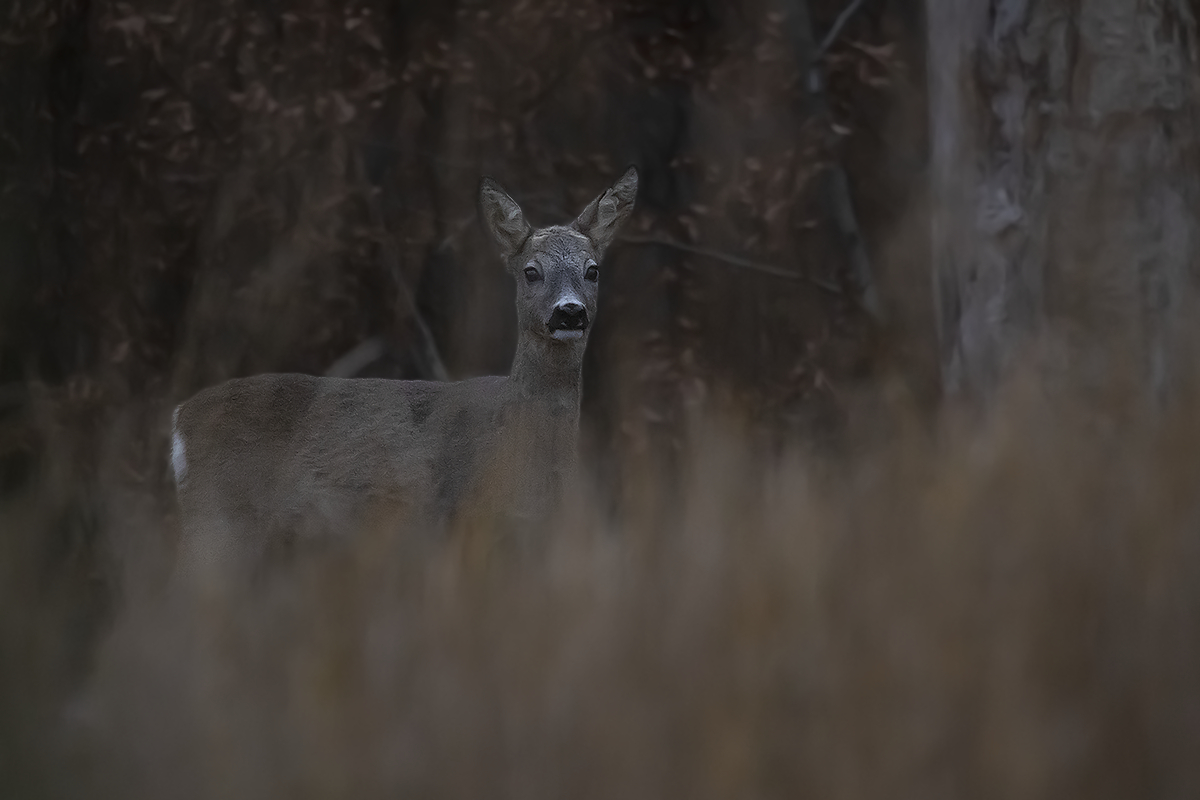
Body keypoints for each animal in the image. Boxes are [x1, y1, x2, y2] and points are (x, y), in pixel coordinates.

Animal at [175, 169, 643, 582]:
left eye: (592, 269)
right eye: (531, 270)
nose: (570, 312)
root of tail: (178, 418)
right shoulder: (465, 517)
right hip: (216, 522)